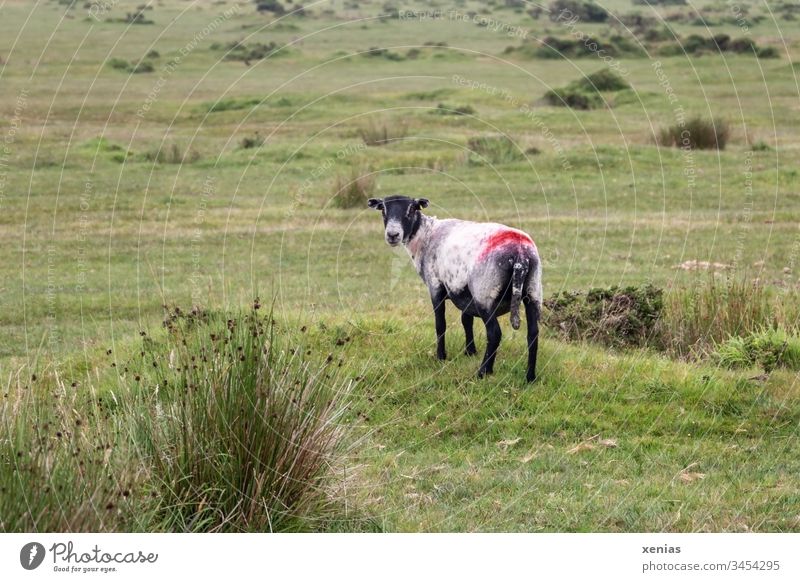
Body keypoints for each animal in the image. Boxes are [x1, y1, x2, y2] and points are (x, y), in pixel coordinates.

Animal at [366, 196, 540, 384]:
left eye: (411, 210)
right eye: (383, 210)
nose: (393, 235)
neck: (426, 236)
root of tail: (520, 257)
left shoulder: (436, 286)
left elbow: (440, 325)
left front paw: (441, 357)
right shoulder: (464, 293)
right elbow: (466, 320)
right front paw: (470, 351)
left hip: (485, 294)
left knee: (494, 333)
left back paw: (483, 372)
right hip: (533, 291)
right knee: (533, 334)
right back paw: (530, 377)